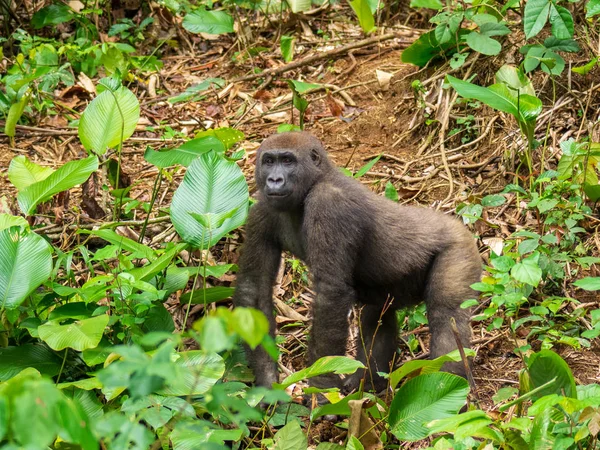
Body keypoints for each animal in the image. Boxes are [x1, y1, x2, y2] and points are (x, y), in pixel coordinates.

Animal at [232, 130, 480, 390]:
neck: (316, 181)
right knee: (376, 316)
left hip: (459, 246)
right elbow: (255, 289)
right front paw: (267, 382)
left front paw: (321, 385)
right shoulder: (260, 210)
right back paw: (368, 383)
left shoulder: (330, 204)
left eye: (288, 161)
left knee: (446, 315)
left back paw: (450, 384)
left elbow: (330, 294)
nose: (274, 180)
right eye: (269, 161)